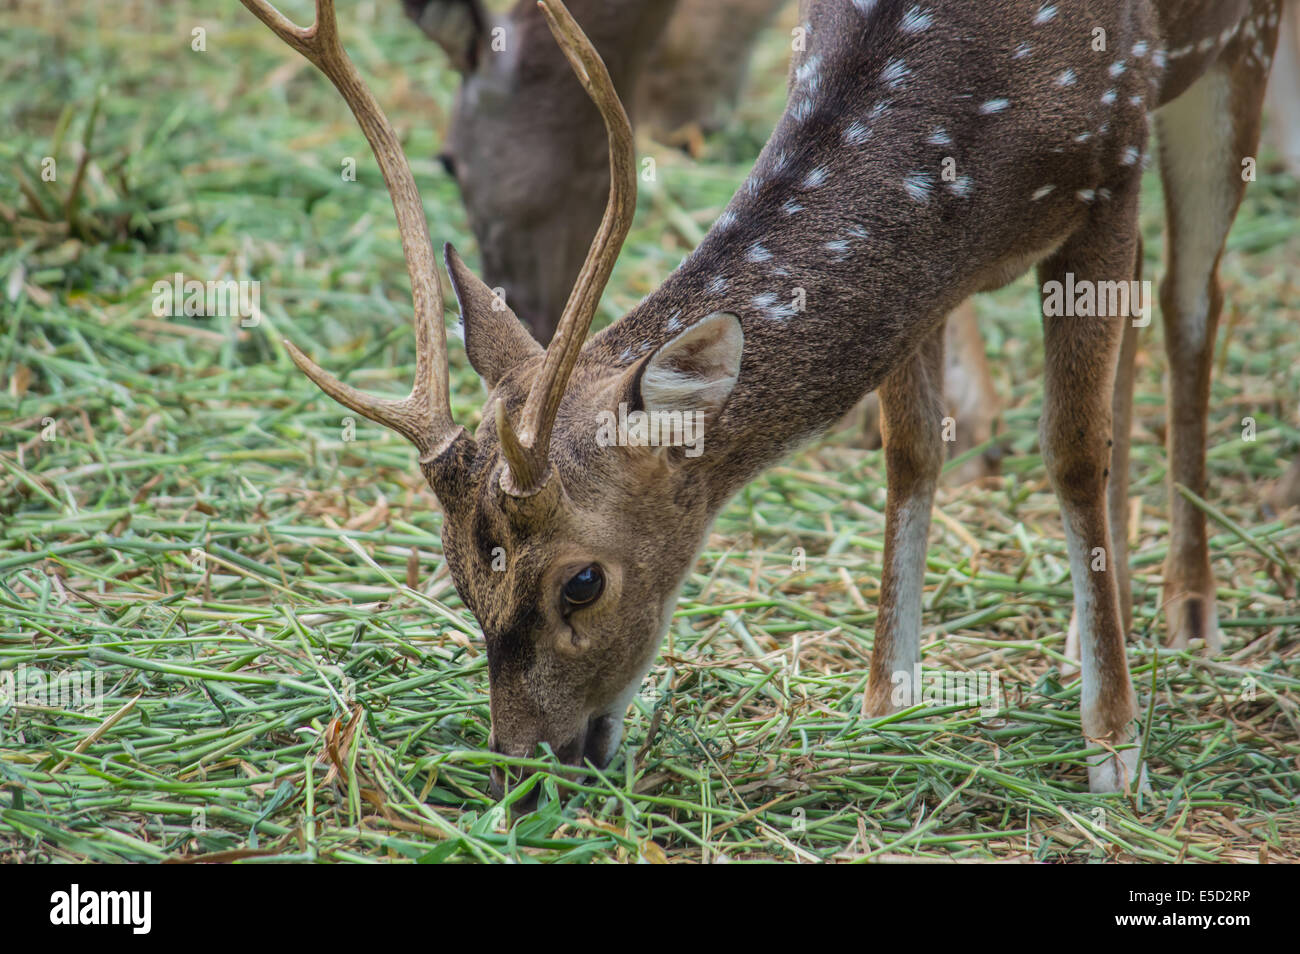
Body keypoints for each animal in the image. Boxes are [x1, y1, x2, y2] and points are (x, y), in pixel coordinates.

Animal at [245, 0, 1289, 795]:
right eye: (460, 576)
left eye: (582, 583)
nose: (523, 769)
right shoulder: (928, 278)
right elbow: (911, 452)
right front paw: (885, 705)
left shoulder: (1109, 160)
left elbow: (1070, 452)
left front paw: (1115, 755)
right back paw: (1098, 620)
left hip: (1231, 58)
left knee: (1193, 305)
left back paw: (1189, 610)